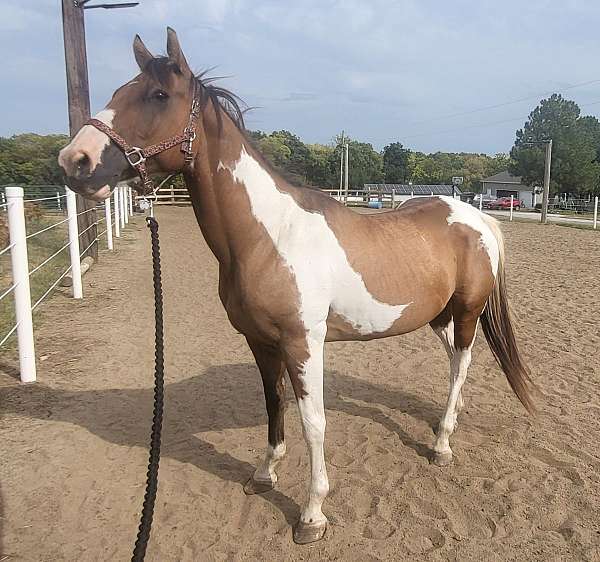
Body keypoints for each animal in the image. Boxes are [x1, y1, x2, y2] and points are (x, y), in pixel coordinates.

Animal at [57, 27, 536, 544]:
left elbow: (314, 423)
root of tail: (478, 217)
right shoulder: (261, 342)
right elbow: (274, 405)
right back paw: (450, 418)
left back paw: (442, 442)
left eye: (158, 95)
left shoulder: (302, 344)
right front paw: (264, 475)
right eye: (118, 91)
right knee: (454, 366)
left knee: (461, 363)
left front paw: (312, 514)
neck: (269, 237)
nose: (74, 160)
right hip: (437, 316)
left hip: (466, 313)